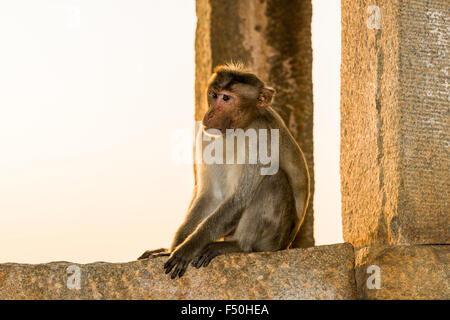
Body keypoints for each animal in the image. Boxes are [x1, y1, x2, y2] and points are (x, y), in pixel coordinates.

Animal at [140, 62, 310, 278]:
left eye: (226, 98)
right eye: (213, 94)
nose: (210, 114)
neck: (238, 129)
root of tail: (287, 244)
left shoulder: (261, 137)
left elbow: (239, 198)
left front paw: (188, 247)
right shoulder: (205, 136)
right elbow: (210, 195)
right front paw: (174, 247)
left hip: (274, 240)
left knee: (273, 179)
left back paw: (239, 246)